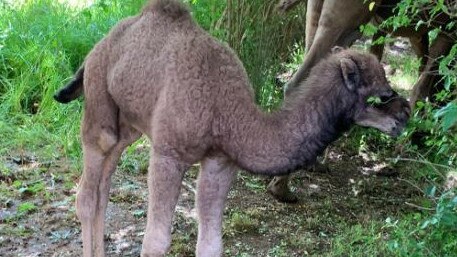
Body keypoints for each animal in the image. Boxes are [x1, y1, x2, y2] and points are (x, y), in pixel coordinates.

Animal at [55, 1, 408, 255]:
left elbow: (211, 245)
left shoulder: (220, 162)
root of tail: (99, 45)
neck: (228, 116)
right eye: (382, 95)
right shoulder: (168, 153)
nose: (404, 114)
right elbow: (155, 242)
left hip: (129, 124)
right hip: (99, 98)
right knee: (88, 191)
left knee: (103, 186)